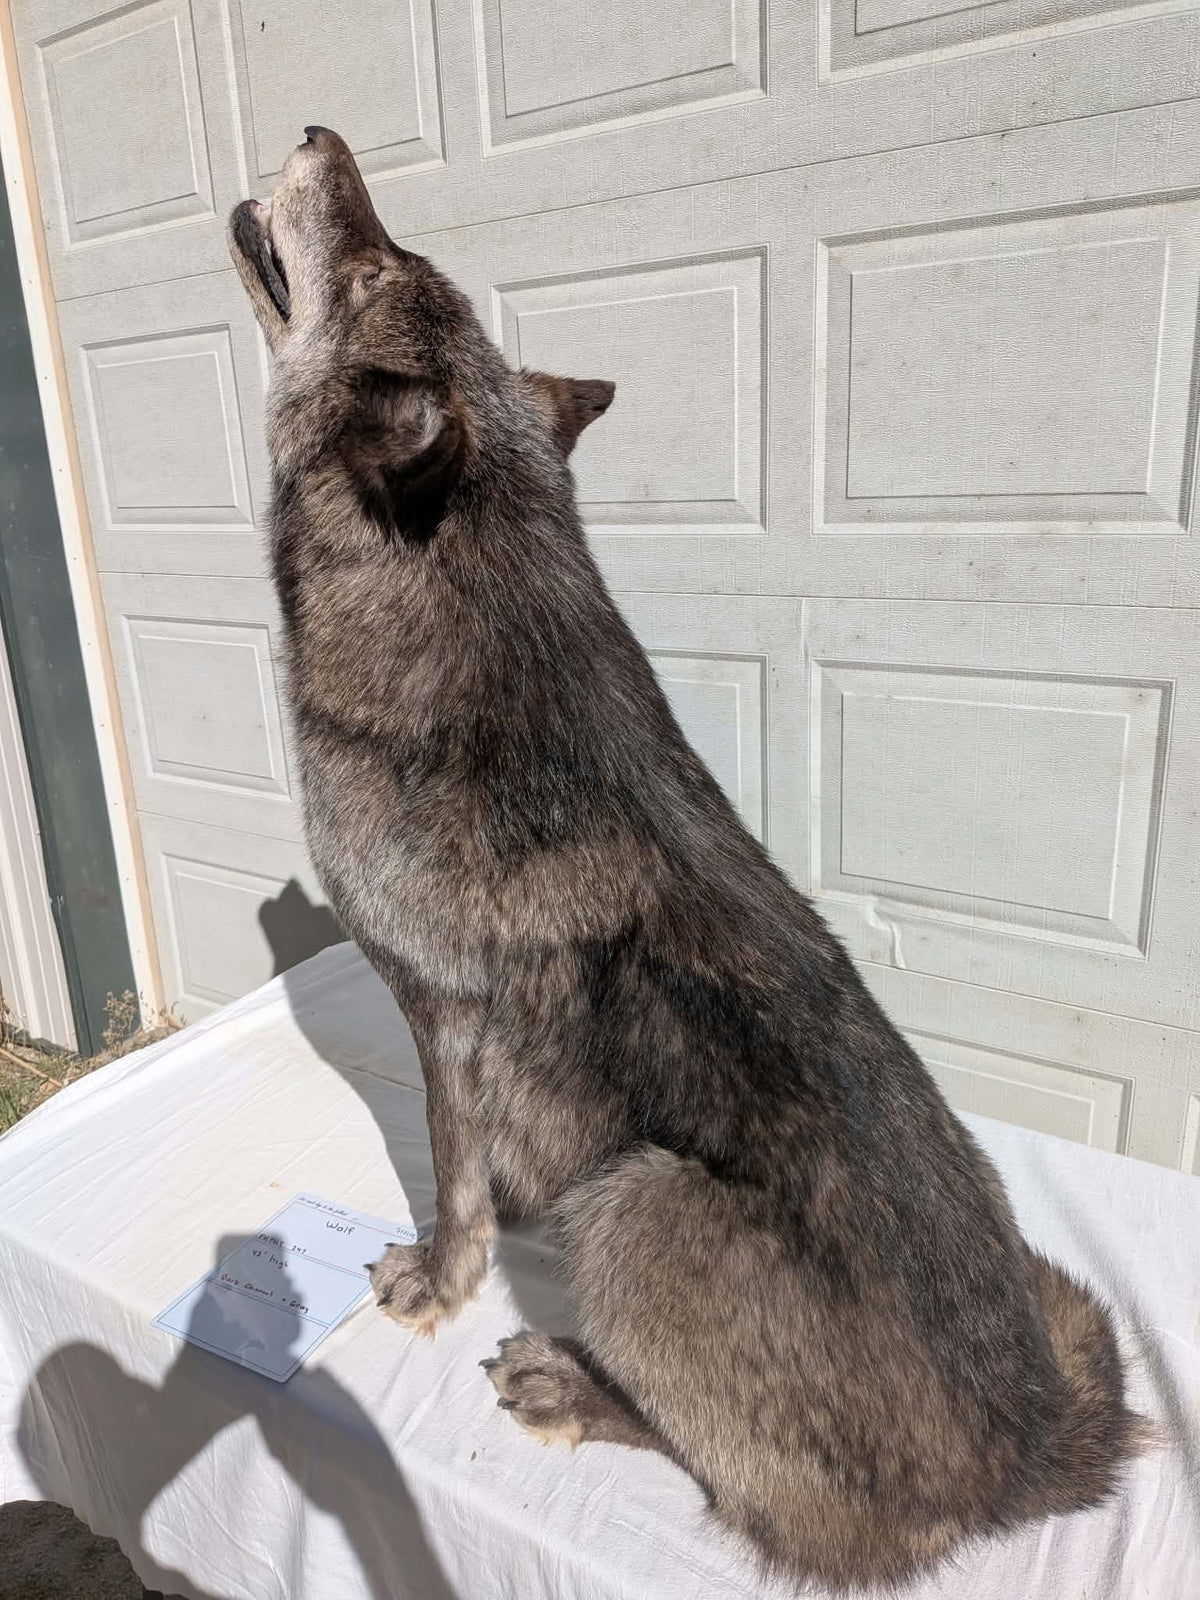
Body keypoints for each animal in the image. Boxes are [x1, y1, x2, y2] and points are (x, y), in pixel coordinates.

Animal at [229, 127, 1145, 1589]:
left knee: (743, 1492)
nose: (321, 134)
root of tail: (1026, 1452)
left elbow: (453, 1179)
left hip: (643, 1201)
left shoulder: (440, 1018)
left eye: (373, 268)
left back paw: (578, 1383)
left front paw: (436, 1280)